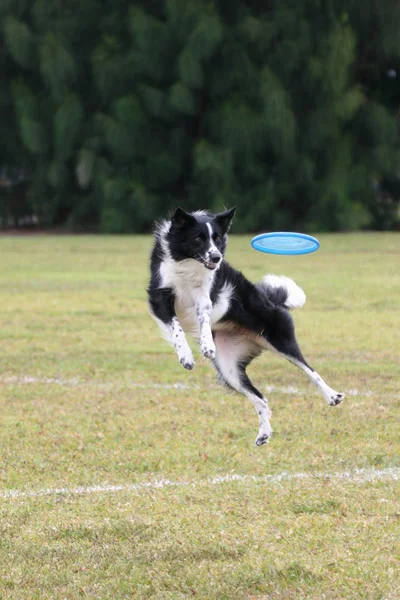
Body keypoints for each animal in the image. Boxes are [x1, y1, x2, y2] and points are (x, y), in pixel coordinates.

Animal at [148, 209, 344, 442]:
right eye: (198, 238)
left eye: (217, 238)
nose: (216, 257)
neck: (188, 263)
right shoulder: (160, 295)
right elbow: (176, 327)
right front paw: (186, 356)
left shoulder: (205, 293)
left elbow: (203, 316)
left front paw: (207, 346)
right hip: (230, 370)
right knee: (261, 398)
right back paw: (264, 434)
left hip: (278, 338)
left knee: (310, 371)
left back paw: (332, 396)